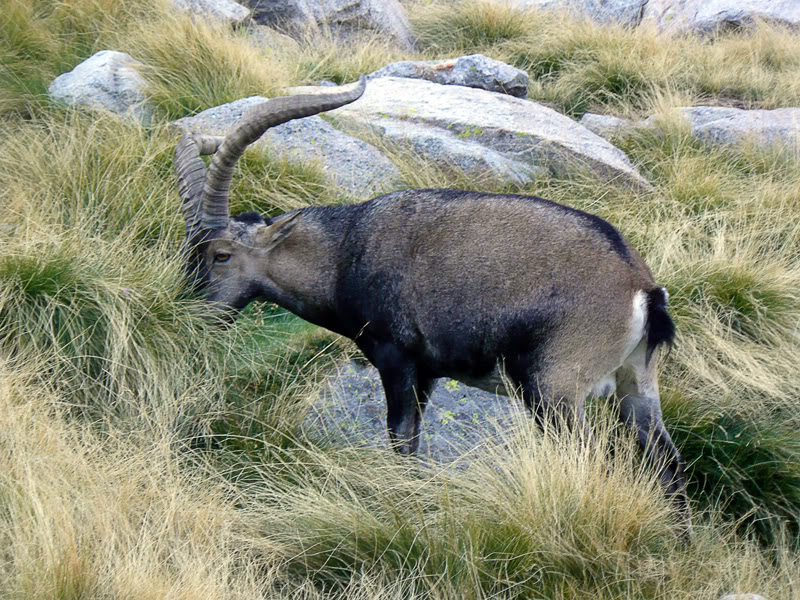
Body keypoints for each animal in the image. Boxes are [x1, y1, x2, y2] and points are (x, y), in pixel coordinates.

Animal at [173, 76, 688, 524]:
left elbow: (401, 439)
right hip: (636, 382)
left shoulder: (397, 359)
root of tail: (642, 290)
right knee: (667, 461)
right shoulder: (429, 374)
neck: (344, 255)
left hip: (556, 390)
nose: (189, 311)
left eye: (220, 255)